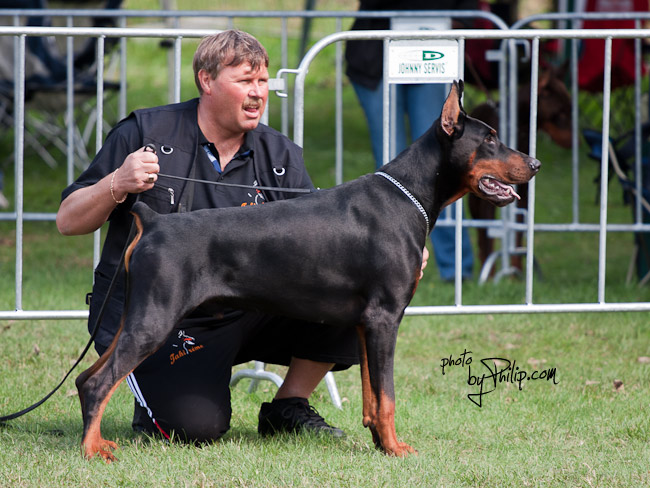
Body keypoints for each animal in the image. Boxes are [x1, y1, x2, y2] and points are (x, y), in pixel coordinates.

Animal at [75, 81, 540, 462]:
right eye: (491, 139)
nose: (534, 163)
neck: (408, 195)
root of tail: (153, 220)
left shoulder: (365, 323)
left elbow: (373, 396)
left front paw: (379, 443)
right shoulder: (385, 317)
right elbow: (388, 395)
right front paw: (395, 448)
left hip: (135, 316)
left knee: (85, 378)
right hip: (154, 318)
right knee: (101, 383)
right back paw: (93, 451)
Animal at [468, 67, 571, 270]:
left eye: (571, 108)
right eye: (561, 113)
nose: (576, 142)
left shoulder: (523, 193)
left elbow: (517, 233)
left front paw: (516, 270)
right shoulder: (487, 199)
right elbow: (487, 240)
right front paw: (491, 272)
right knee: (481, 232)